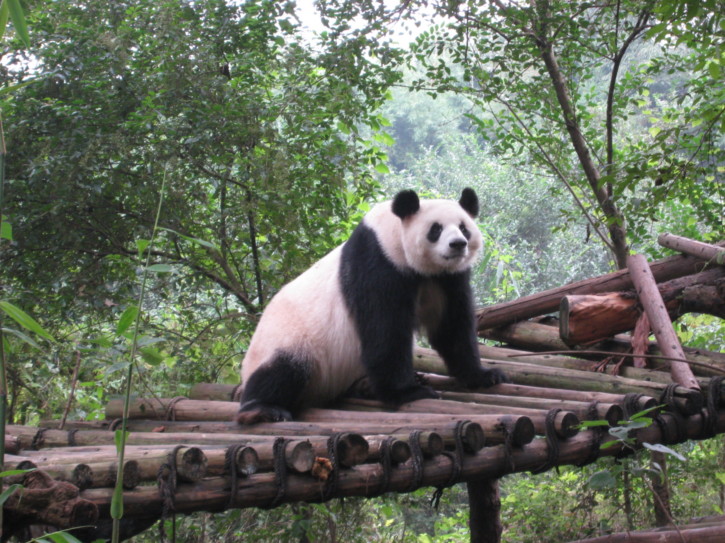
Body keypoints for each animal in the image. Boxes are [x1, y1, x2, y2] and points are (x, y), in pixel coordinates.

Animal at [236, 188, 507, 425]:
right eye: (436, 229)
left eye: (464, 228)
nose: (458, 244)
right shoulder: (378, 264)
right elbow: (385, 330)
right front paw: (407, 392)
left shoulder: (446, 279)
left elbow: (451, 328)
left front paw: (483, 375)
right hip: (291, 342)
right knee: (283, 370)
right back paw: (261, 409)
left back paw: (365, 387)